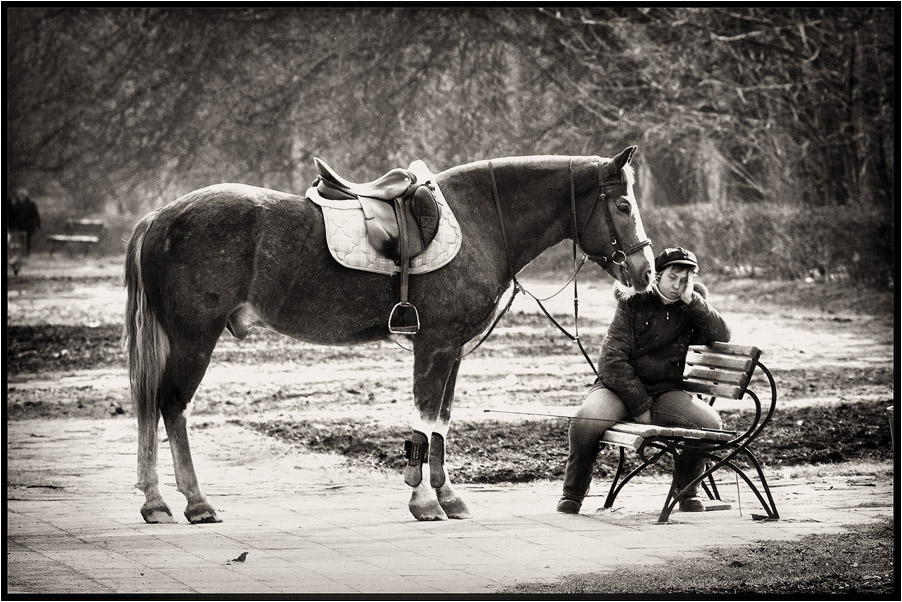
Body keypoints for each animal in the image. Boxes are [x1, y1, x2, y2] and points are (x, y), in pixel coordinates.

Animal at [123, 148, 652, 524]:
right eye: (623, 204)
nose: (645, 271)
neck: (480, 219)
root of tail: (160, 216)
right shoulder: (435, 346)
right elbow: (423, 419)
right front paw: (424, 501)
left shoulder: (452, 351)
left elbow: (440, 423)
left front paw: (447, 497)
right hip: (194, 340)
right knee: (170, 406)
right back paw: (193, 503)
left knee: (152, 405)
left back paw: (156, 502)